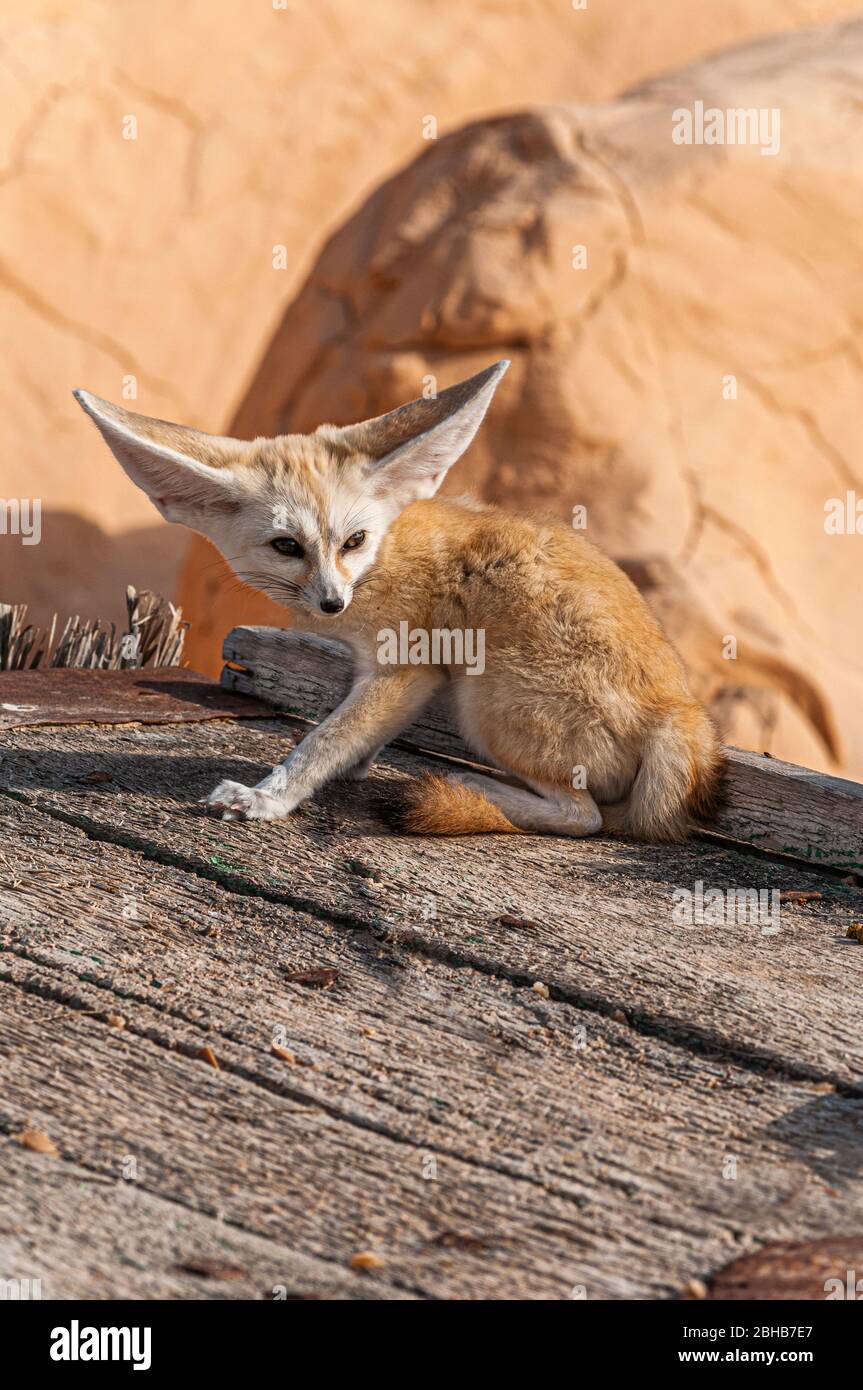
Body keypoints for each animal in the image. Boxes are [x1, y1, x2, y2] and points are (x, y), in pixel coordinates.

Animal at [74, 358, 722, 834]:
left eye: (353, 540)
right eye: (287, 546)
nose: (332, 603)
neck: (384, 556)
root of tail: (679, 714)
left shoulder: (408, 669)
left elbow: (324, 738)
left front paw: (267, 798)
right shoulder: (381, 675)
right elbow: (350, 731)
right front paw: (351, 765)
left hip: (481, 703)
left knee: (585, 817)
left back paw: (473, 788)